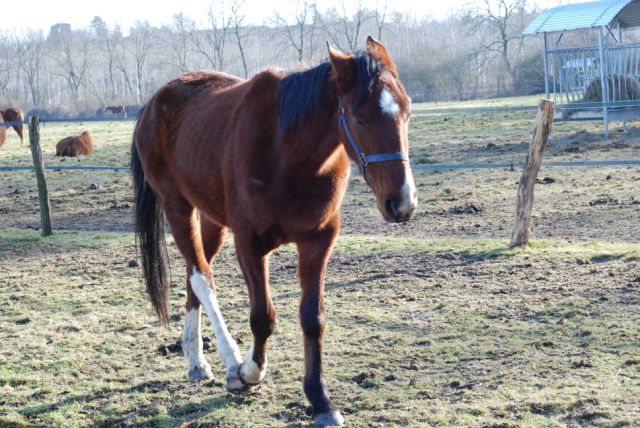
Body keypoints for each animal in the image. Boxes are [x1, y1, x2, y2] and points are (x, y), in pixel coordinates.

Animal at [132, 37, 418, 428]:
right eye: (360, 118)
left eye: (406, 112)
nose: (402, 202)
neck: (288, 154)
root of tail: (154, 103)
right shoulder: (250, 245)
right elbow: (262, 318)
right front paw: (247, 373)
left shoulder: (318, 241)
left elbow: (313, 319)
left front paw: (320, 400)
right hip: (177, 208)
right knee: (201, 277)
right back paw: (228, 361)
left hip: (211, 219)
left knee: (196, 276)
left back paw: (196, 361)